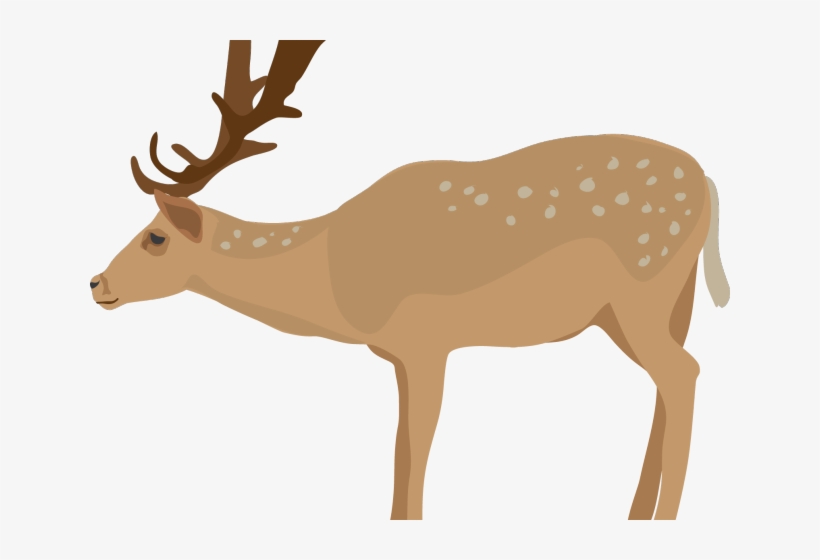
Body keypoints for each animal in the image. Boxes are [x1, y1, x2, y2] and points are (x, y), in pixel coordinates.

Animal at [90, 39, 730, 521]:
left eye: (155, 236)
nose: (96, 283)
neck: (335, 278)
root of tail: (708, 183)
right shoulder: (400, 353)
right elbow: (404, 444)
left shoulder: (425, 342)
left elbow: (410, 447)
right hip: (658, 304)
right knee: (671, 378)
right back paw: (635, 515)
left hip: (643, 287)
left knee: (683, 373)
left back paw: (661, 518)